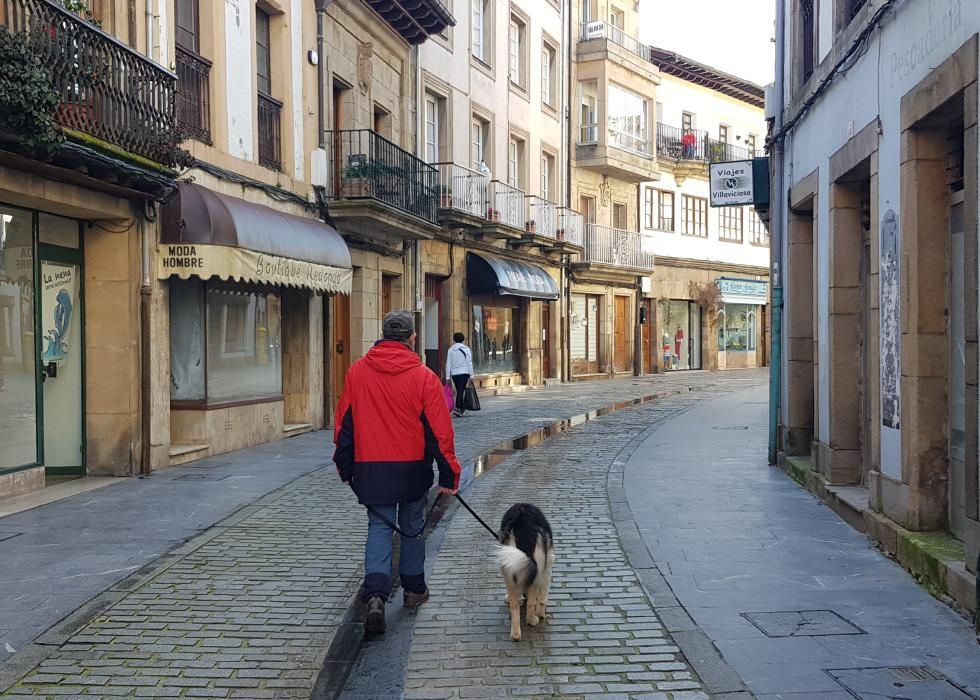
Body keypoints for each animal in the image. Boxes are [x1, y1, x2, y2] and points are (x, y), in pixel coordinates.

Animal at [494, 504, 556, 640]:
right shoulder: (548, 566)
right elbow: (543, 596)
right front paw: (541, 613)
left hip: (509, 564)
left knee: (514, 606)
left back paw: (516, 635)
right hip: (538, 568)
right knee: (531, 603)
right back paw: (533, 620)